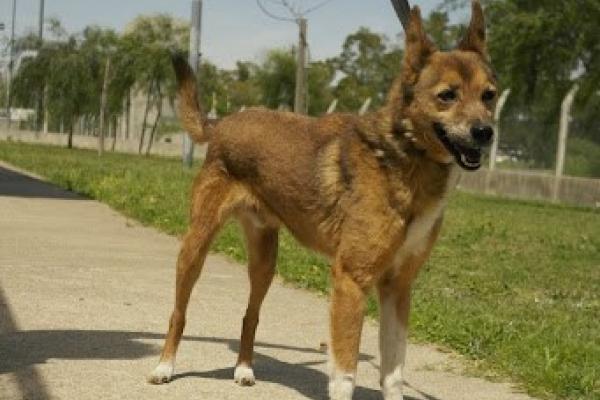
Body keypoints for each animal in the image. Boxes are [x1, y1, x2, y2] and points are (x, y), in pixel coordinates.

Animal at [149, 1, 496, 398]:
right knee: (179, 312)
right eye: (447, 95)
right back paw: (164, 366)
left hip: (264, 261)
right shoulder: (351, 281)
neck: (403, 157)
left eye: (489, 95)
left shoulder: (398, 287)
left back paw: (244, 369)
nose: (485, 132)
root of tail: (223, 123)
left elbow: (393, 372)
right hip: (196, 247)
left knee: (250, 315)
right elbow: (345, 373)